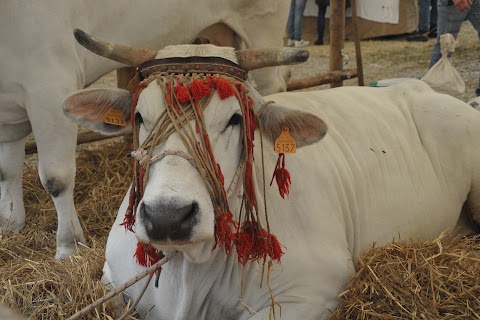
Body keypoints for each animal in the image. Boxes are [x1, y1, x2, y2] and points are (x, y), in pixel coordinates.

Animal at [0, 0, 288, 258]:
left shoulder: (50, 88)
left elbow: (55, 178)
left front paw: (68, 245)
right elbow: (7, 171)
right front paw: (11, 222)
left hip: (263, 25)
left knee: (275, 86)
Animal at [62, 29, 480, 318]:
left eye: (235, 118)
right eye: (138, 116)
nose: (168, 216)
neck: (188, 273)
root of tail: (421, 89)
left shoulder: (313, 290)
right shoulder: (112, 278)